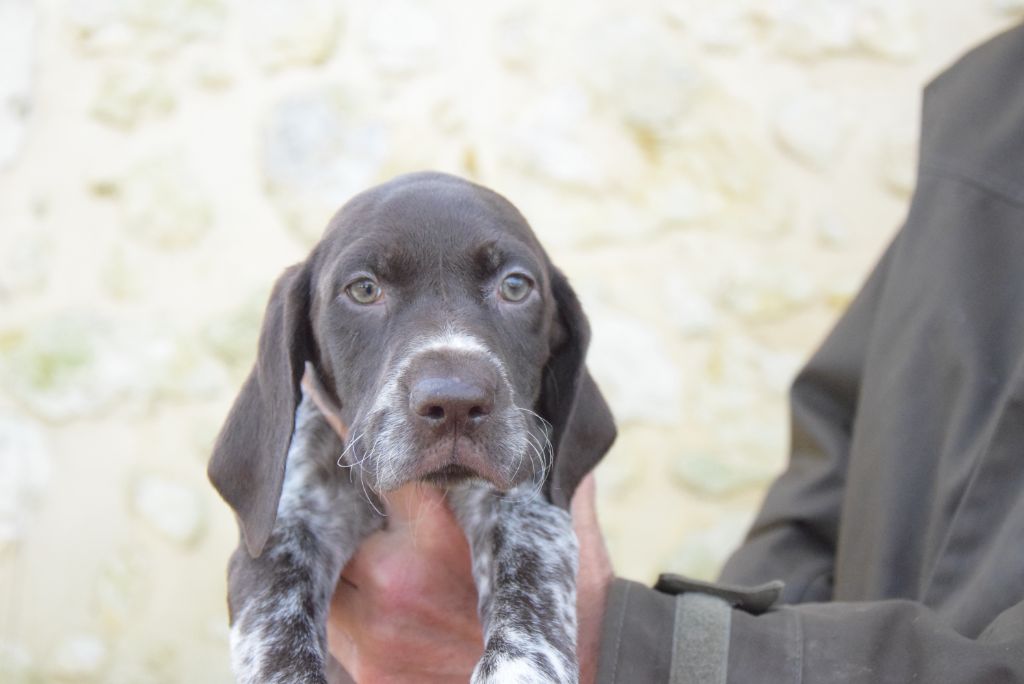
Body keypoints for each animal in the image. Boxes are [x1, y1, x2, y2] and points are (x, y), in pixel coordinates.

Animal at [203, 172, 610, 684]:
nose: (455, 402)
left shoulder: (530, 504)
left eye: (516, 286)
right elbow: (277, 646)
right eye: (363, 289)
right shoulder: (285, 531)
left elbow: (531, 595)